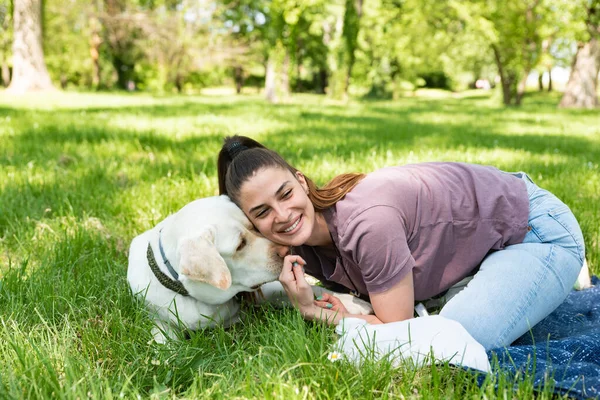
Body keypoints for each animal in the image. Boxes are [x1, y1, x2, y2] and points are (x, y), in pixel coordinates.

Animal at [127, 195, 372, 342]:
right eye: (239, 244)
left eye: (253, 225)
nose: (286, 251)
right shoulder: (157, 318)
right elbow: (162, 341)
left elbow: (313, 290)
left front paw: (352, 303)